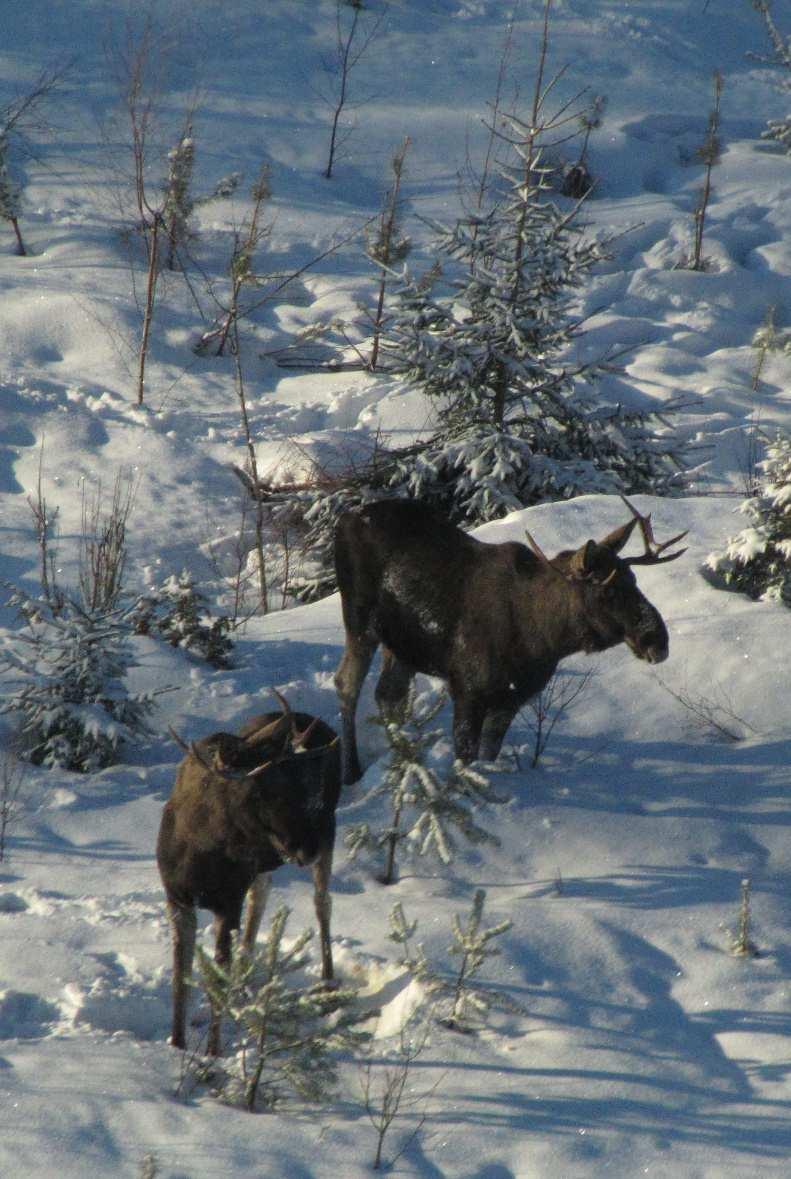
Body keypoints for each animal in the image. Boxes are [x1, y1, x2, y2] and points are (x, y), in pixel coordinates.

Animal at [334, 497, 688, 782]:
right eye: (608, 592)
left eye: (634, 579)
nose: (657, 640)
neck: (543, 640)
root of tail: (345, 518)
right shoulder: (468, 690)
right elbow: (465, 763)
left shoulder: (511, 699)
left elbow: (488, 755)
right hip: (360, 619)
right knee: (347, 683)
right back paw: (352, 771)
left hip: (402, 646)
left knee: (387, 694)